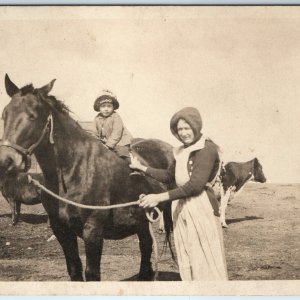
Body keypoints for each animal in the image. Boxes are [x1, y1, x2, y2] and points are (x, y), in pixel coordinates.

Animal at [0, 74, 173, 280]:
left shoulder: (93, 231)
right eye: (4, 115)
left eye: (32, 116)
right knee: (146, 247)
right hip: (142, 221)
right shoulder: (62, 230)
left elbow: (92, 273)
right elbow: (74, 269)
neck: (75, 169)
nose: (6, 160)